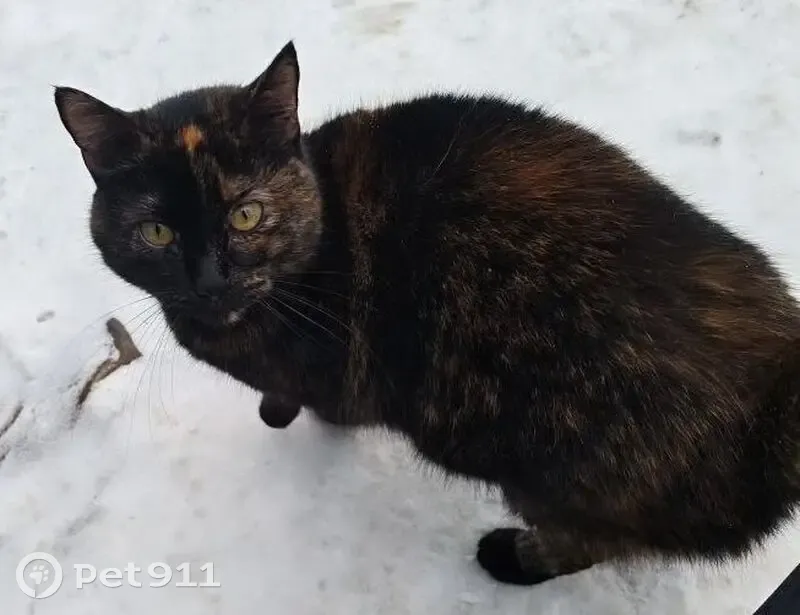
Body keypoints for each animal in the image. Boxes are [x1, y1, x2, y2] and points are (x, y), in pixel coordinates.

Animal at [54, 41, 800, 586]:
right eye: (156, 232)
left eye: (246, 214)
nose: (210, 280)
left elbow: (313, 400)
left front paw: (286, 411)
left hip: (533, 458)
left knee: (604, 538)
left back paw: (516, 558)